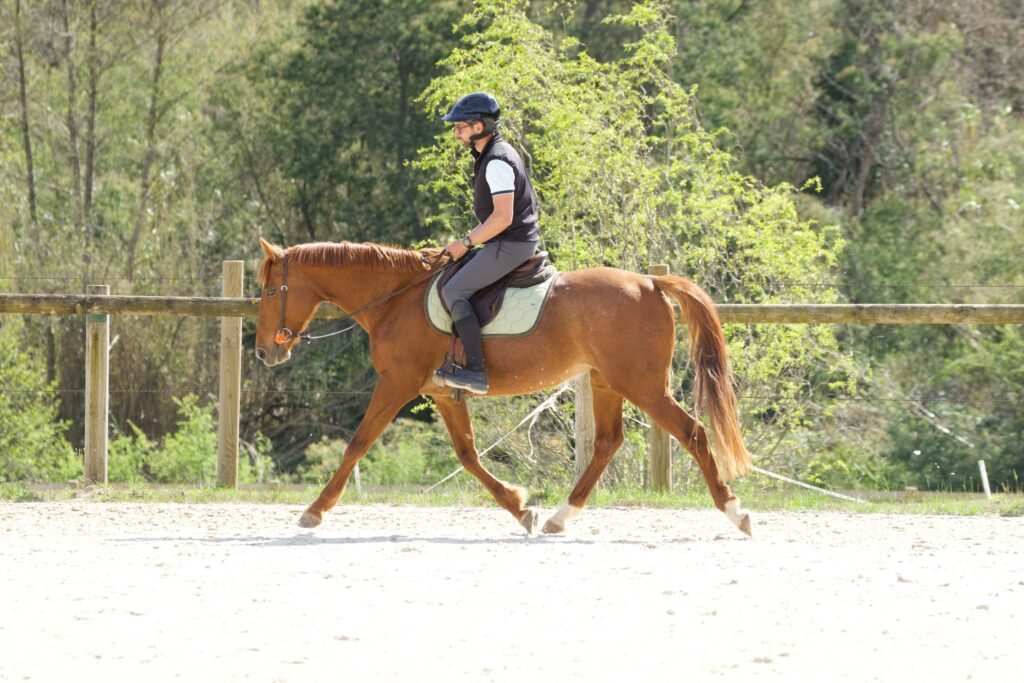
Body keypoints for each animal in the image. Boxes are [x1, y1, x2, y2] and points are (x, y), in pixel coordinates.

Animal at [254, 238, 753, 536]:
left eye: (267, 292)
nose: (263, 353)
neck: (396, 301)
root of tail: (650, 280)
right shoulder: (443, 394)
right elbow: (468, 455)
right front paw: (520, 507)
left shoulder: (396, 384)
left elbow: (358, 443)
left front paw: (315, 510)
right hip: (606, 382)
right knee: (608, 442)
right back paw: (559, 517)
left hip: (642, 385)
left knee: (693, 433)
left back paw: (735, 511)